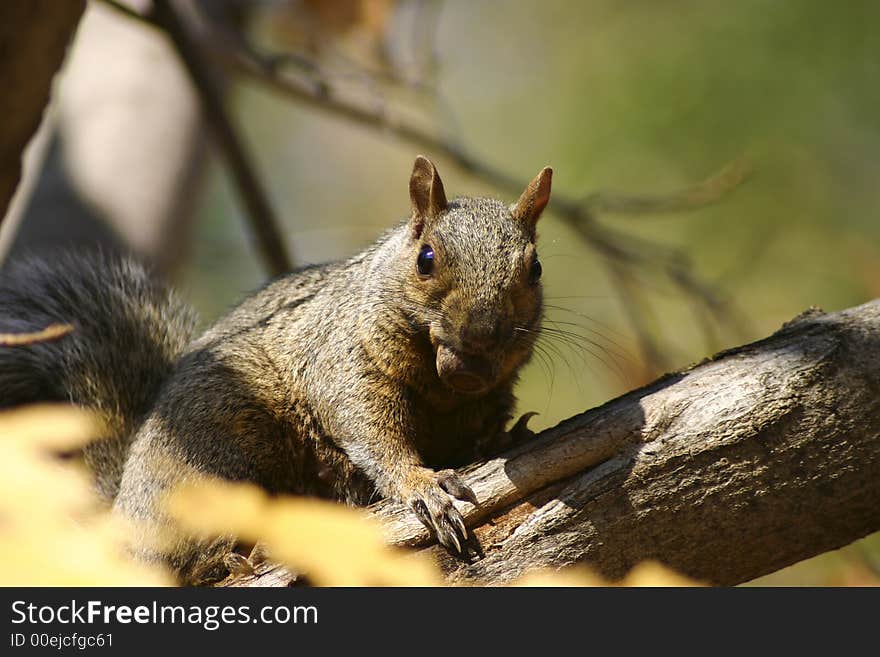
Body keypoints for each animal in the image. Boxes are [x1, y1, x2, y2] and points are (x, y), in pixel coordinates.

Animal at [0, 156, 552, 580]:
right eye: (426, 259)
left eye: (535, 268)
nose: (477, 340)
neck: (444, 391)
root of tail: (121, 515)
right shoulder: (342, 360)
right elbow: (369, 429)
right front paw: (422, 487)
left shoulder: (488, 395)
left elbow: (480, 431)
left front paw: (504, 438)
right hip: (213, 447)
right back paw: (227, 559)